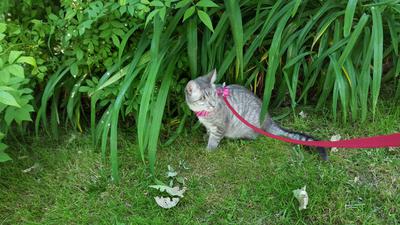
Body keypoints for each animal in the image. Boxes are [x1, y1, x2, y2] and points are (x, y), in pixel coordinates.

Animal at [184, 68, 328, 160]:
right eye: (203, 98)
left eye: (215, 95)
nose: (213, 104)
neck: (205, 115)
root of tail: (268, 120)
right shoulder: (209, 125)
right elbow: (209, 131)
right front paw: (206, 136)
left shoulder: (220, 126)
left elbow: (214, 140)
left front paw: (208, 151)